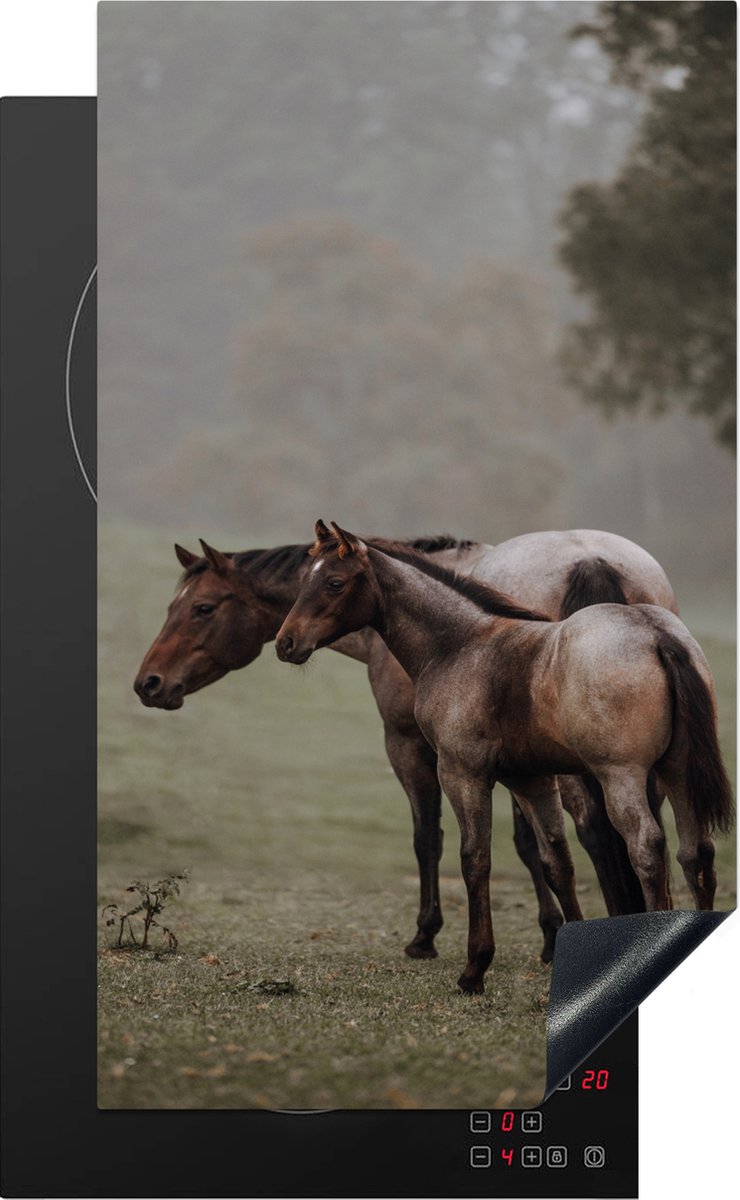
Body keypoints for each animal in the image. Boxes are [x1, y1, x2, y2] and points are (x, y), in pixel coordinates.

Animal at [134, 527, 678, 962]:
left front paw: (426, 936)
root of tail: (590, 557)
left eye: (202, 608)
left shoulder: (412, 746)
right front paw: (550, 934)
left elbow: (429, 838)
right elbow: (530, 845)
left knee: (598, 830)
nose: (148, 683)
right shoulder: (510, 759)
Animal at [275, 521, 733, 995]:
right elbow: (556, 862)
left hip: (620, 775)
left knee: (646, 846)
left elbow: (474, 858)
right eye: (304, 577)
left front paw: (473, 968)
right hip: (676, 771)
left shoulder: (461, 773)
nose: (286, 642)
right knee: (695, 853)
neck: (461, 646)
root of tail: (656, 635)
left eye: (334, 582)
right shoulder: (531, 780)